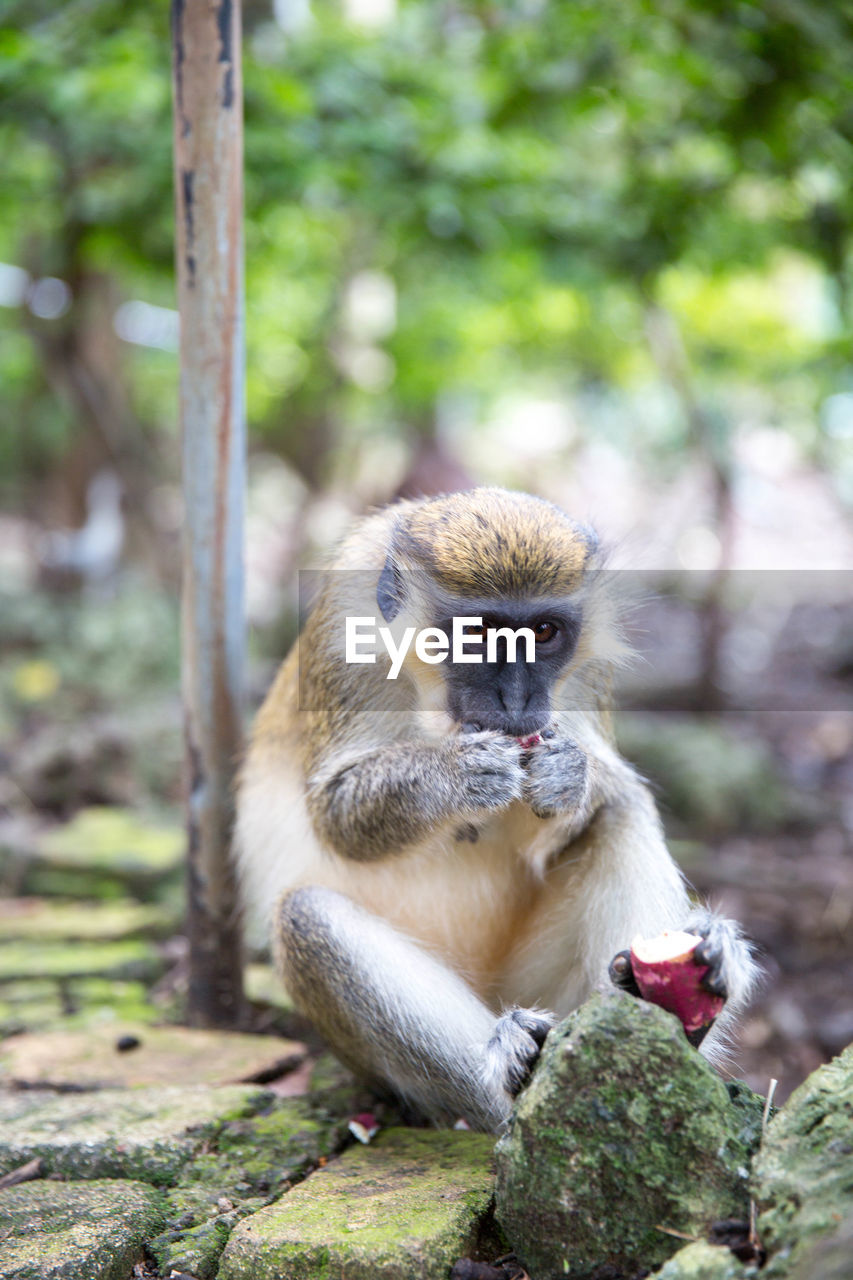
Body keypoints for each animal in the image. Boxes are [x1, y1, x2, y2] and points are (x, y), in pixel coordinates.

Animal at [234, 486, 758, 1131]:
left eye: (545, 631)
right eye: (479, 633)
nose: (517, 700)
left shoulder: (588, 672)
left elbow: (593, 797)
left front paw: (572, 777)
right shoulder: (342, 641)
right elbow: (335, 818)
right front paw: (458, 776)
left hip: (549, 988)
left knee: (622, 811)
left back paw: (665, 1015)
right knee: (306, 918)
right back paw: (514, 1067)